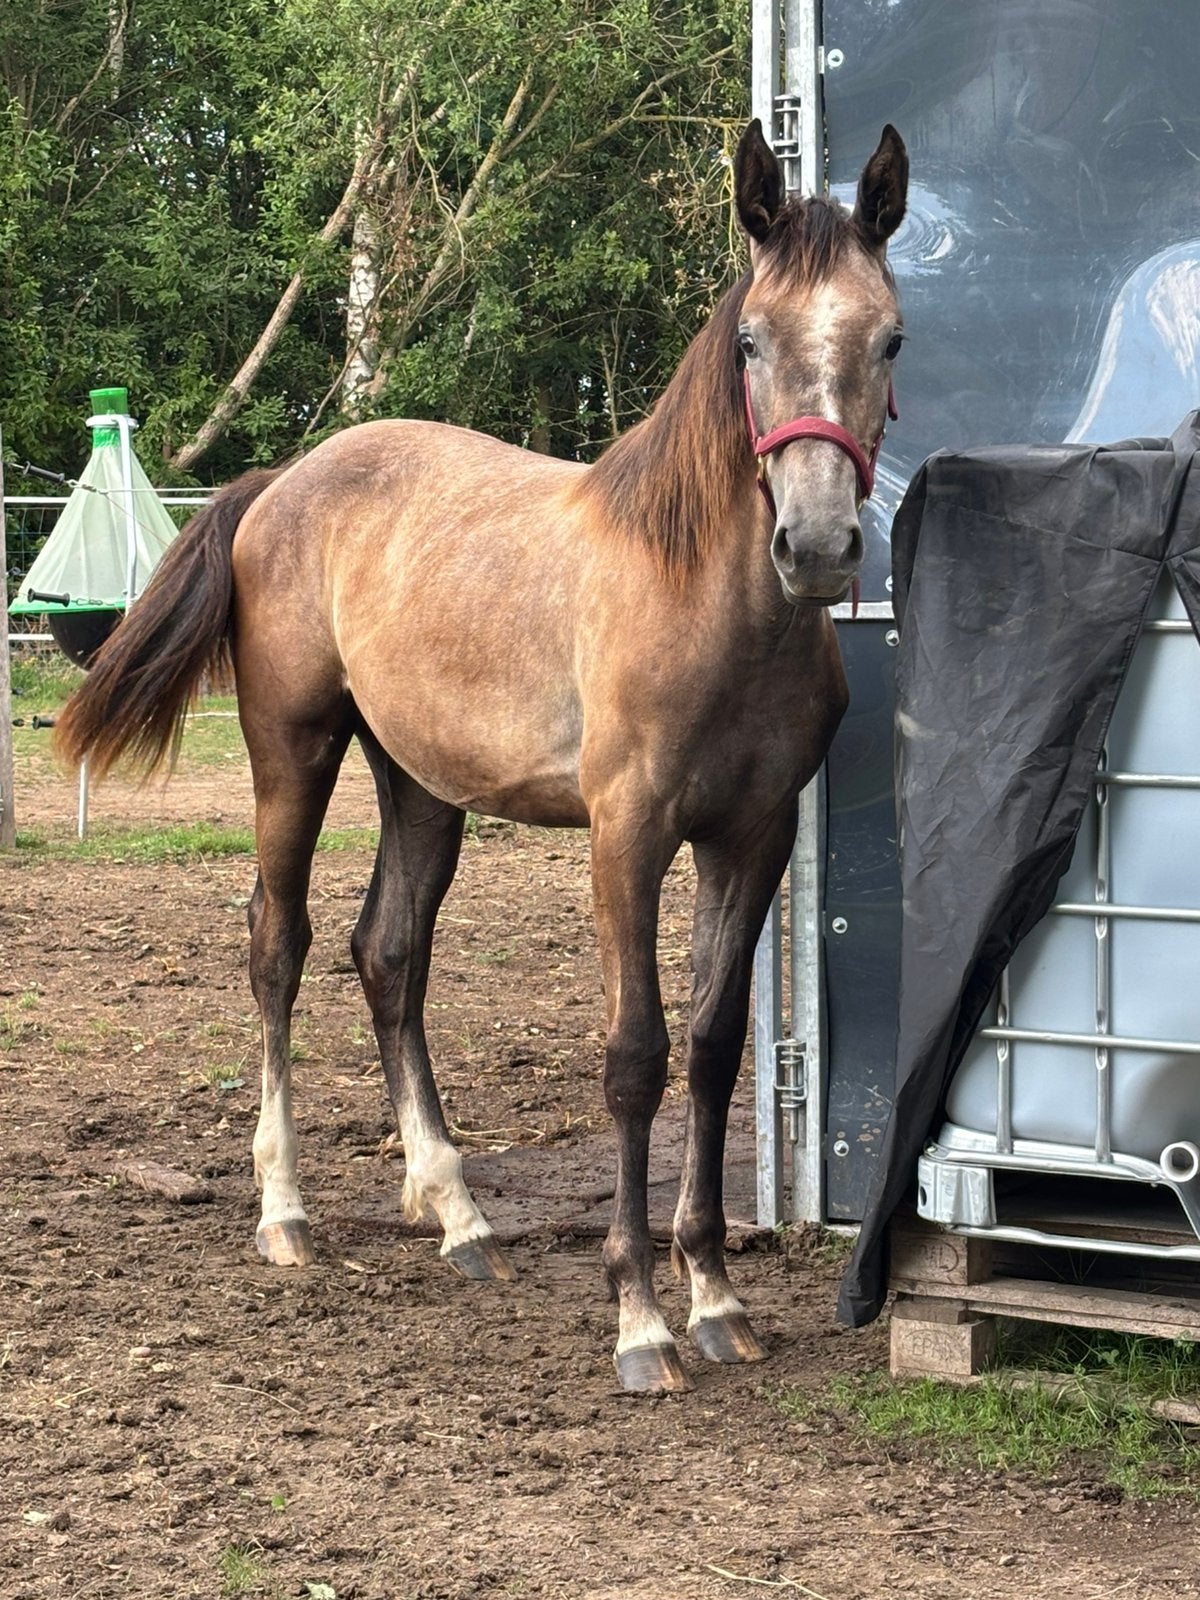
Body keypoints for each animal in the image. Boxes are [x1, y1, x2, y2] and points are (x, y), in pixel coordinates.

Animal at [56, 120, 907, 1394]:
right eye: (752, 338)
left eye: (889, 334)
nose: (815, 545)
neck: (702, 599)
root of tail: (281, 483)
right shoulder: (627, 837)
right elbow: (636, 1056)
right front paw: (641, 1318)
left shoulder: (753, 838)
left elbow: (713, 1051)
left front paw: (716, 1295)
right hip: (294, 753)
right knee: (279, 945)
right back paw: (285, 1213)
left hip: (421, 784)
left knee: (386, 954)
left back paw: (457, 1212)